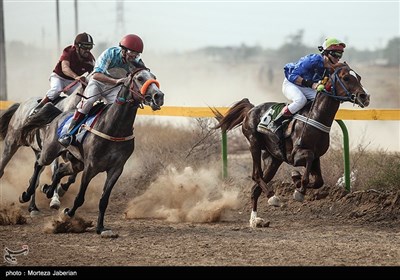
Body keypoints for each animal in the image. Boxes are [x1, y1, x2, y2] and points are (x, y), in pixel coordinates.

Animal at [19, 68, 164, 236]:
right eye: (140, 78)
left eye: (154, 77)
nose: (158, 96)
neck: (114, 128)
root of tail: (59, 114)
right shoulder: (91, 166)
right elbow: (80, 197)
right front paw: (68, 213)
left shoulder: (116, 169)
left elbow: (104, 200)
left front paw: (100, 228)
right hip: (50, 151)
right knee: (38, 164)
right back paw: (26, 195)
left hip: (77, 163)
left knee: (60, 170)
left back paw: (48, 190)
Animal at [214, 62, 370, 226]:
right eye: (346, 78)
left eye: (359, 77)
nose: (364, 97)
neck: (315, 117)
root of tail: (251, 108)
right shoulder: (296, 155)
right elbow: (307, 165)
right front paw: (298, 187)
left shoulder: (317, 157)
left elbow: (319, 181)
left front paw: (297, 182)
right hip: (254, 143)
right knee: (256, 175)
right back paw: (272, 197)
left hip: (274, 159)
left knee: (255, 188)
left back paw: (255, 219)